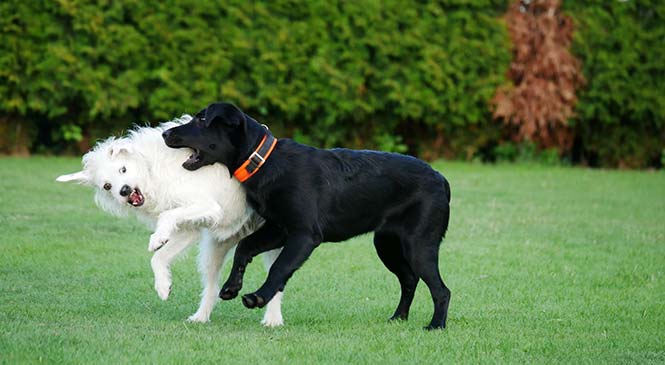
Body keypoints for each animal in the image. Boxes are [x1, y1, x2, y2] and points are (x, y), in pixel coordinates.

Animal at [56, 115, 282, 326]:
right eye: (107, 186)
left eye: (123, 169)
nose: (125, 191)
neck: (152, 171)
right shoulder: (189, 227)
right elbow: (158, 257)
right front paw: (163, 286)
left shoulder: (208, 206)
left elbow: (166, 219)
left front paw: (157, 239)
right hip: (214, 251)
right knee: (212, 286)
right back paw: (200, 317)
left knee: (277, 279)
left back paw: (272, 319)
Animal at [162, 103, 452, 330]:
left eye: (201, 119)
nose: (165, 132)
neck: (265, 162)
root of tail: (442, 179)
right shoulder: (278, 229)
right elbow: (244, 248)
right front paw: (232, 287)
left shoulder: (304, 235)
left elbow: (279, 268)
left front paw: (258, 297)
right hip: (386, 244)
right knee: (409, 280)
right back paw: (398, 318)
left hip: (418, 245)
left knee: (441, 290)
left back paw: (436, 325)